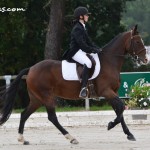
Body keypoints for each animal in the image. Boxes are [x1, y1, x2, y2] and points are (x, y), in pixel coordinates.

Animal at [0, 25, 148, 145]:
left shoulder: (112, 92)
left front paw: (129, 134)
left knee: (24, 114)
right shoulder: (106, 91)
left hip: (37, 99)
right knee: (52, 117)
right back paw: (71, 138)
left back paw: (22, 139)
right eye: (137, 42)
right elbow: (121, 107)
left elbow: (119, 110)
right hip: (46, 96)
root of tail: (31, 69)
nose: (146, 60)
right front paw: (110, 125)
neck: (109, 61)